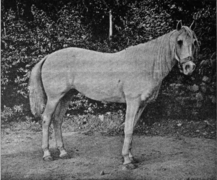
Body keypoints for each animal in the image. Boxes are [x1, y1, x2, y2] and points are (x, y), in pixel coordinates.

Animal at [29, 21, 200, 170]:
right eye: (179, 41)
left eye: (194, 42)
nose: (189, 67)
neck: (145, 64)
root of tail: (48, 57)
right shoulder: (132, 102)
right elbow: (128, 129)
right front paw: (127, 161)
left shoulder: (141, 105)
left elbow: (132, 128)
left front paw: (131, 157)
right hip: (54, 98)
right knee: (46, 119)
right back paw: (47, 154)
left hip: (66, 96)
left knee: (57, 120)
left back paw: (63, 152)